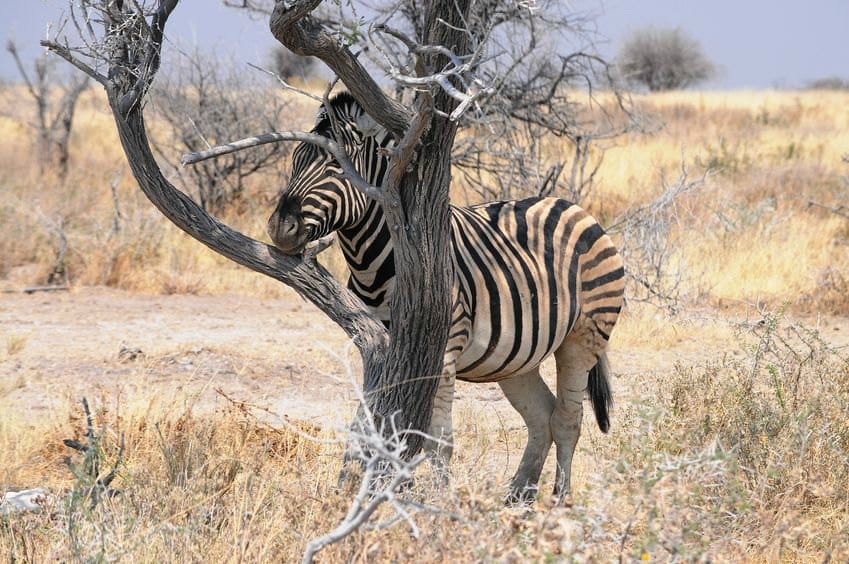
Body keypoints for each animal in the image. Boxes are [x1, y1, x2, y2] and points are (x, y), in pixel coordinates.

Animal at [268, 92, 625, 504]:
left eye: (337, 169)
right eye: (295, 161)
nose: (279, 228)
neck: (376, 262)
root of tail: (570, 205)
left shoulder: (442, 347)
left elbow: (437, 439)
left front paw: (437, 503)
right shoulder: (378, 345)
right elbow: (380, 425)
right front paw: (376, 490)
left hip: (584, 335)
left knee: (568, 418)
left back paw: (559, 501)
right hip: (517, 356)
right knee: (542, 415)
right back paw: (518, 498)